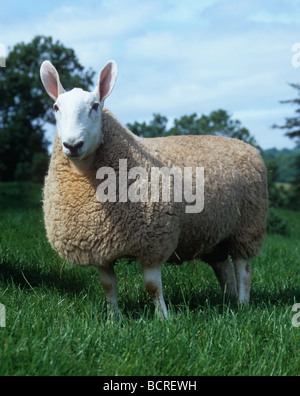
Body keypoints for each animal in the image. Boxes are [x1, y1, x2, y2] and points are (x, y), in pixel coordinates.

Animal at [39, 58, 268, 318]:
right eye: (56, 107)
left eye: (95, 106)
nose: (73, 145)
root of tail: (246, 146)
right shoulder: (100, 247)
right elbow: (108, 286)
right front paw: (114, 318)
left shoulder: (154, 241)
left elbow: (152, 287)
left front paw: (164, 318)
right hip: (213, 232)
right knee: (224, 267)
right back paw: (228, 300)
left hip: (247, 227)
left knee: (243, 268)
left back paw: (242, 303)